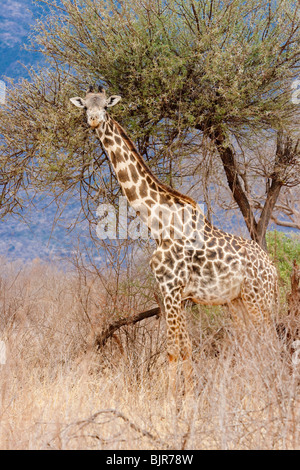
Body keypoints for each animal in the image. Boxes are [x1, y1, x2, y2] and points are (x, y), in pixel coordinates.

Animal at [70, 86, 278, 394]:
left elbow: (172, 349)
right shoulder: (178, 293)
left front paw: (171, 400)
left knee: (270, 342)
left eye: (105, 106)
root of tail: (273, 270)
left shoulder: (171, 288)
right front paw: (188, 394)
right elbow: (186, 346)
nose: (94, 120)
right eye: (85, 107)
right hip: (238, 301)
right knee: (254, 344)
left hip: (258, 298)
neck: (158, 223)